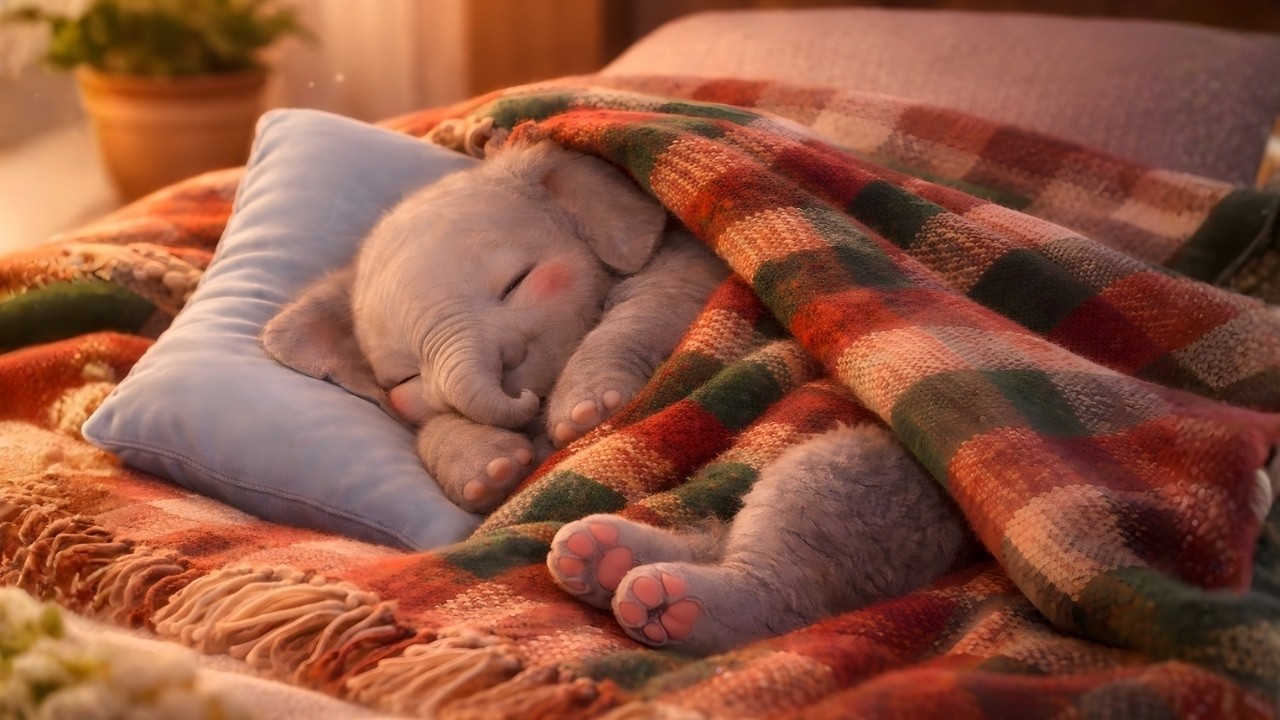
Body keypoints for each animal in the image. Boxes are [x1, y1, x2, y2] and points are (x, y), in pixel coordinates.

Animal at [262, 141, 730, 513]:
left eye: (515, 283)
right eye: (404, 377)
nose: (521, 394)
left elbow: (673, 288)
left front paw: (586, 411)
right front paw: (492, 469)